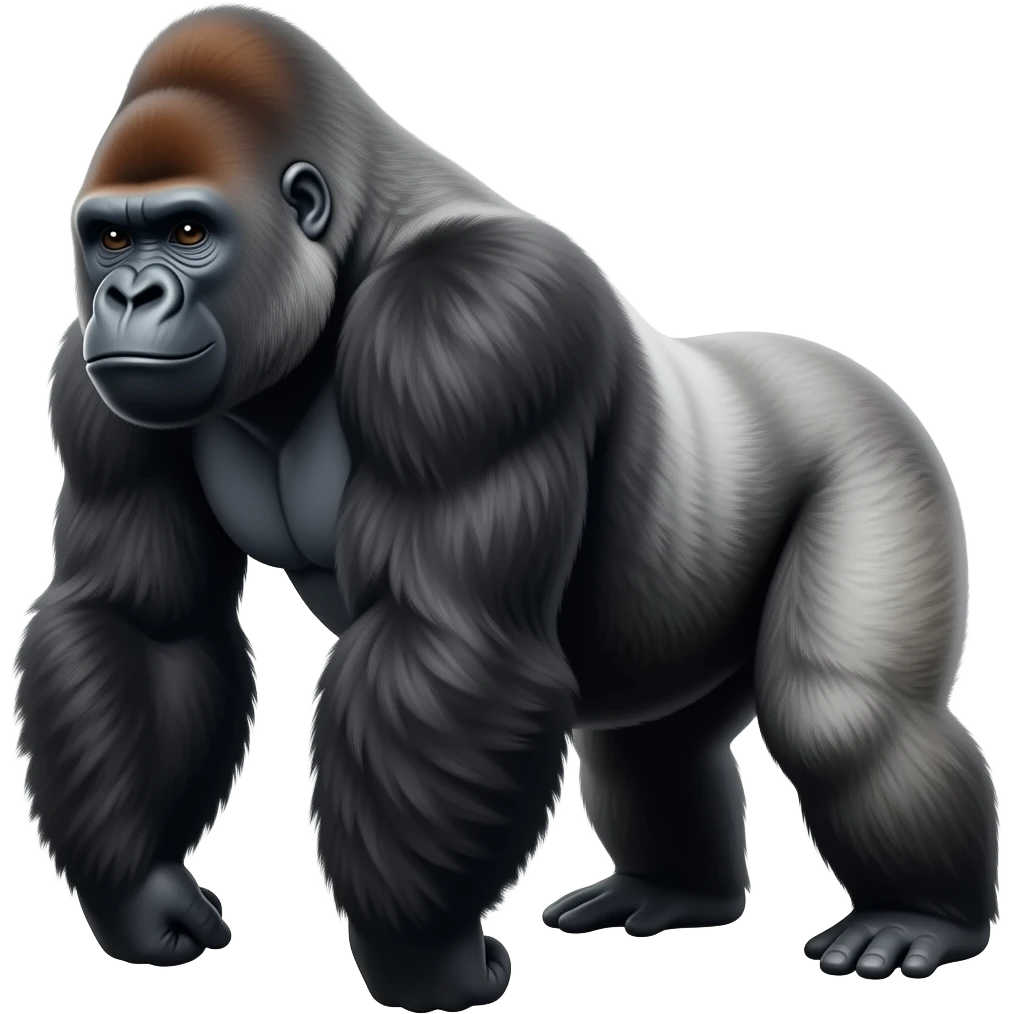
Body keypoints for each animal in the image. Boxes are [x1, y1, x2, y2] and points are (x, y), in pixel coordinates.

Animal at [12, 3, 994, 1007]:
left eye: (188, 231)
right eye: (111, 240)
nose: (131, 295)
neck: (353, 244)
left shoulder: (468, 326)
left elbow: (447, 638)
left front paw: (420, 958)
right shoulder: (90, 384)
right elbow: (144, 622)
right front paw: (140, 894)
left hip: (878, 450)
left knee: (840, 715)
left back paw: (924, 915)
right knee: (653, 747)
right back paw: (678, 889)